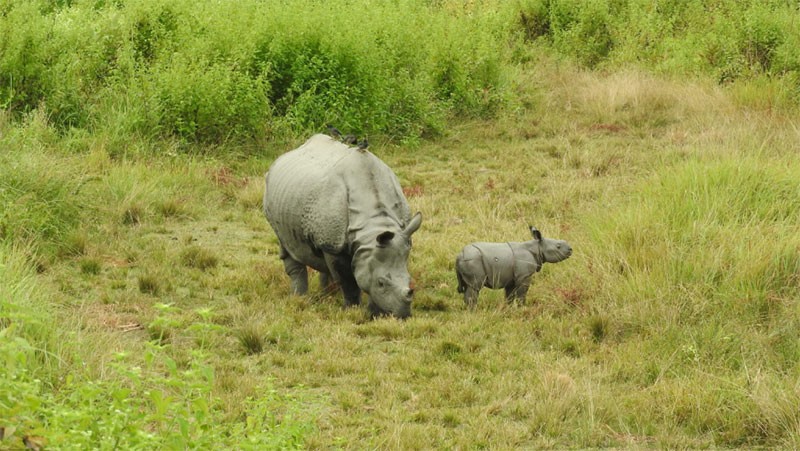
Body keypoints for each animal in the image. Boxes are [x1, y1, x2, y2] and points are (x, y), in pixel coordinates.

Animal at [263, 134, 422, 318]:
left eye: (410, 282)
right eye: (381, 283)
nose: (403, 315)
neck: (373, 225)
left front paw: (374, 314)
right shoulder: (334, 246)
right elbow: (348, 281)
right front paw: (351, 309)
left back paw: (326, 295)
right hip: (274, 196)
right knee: (287, 245)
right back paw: (299, 299)